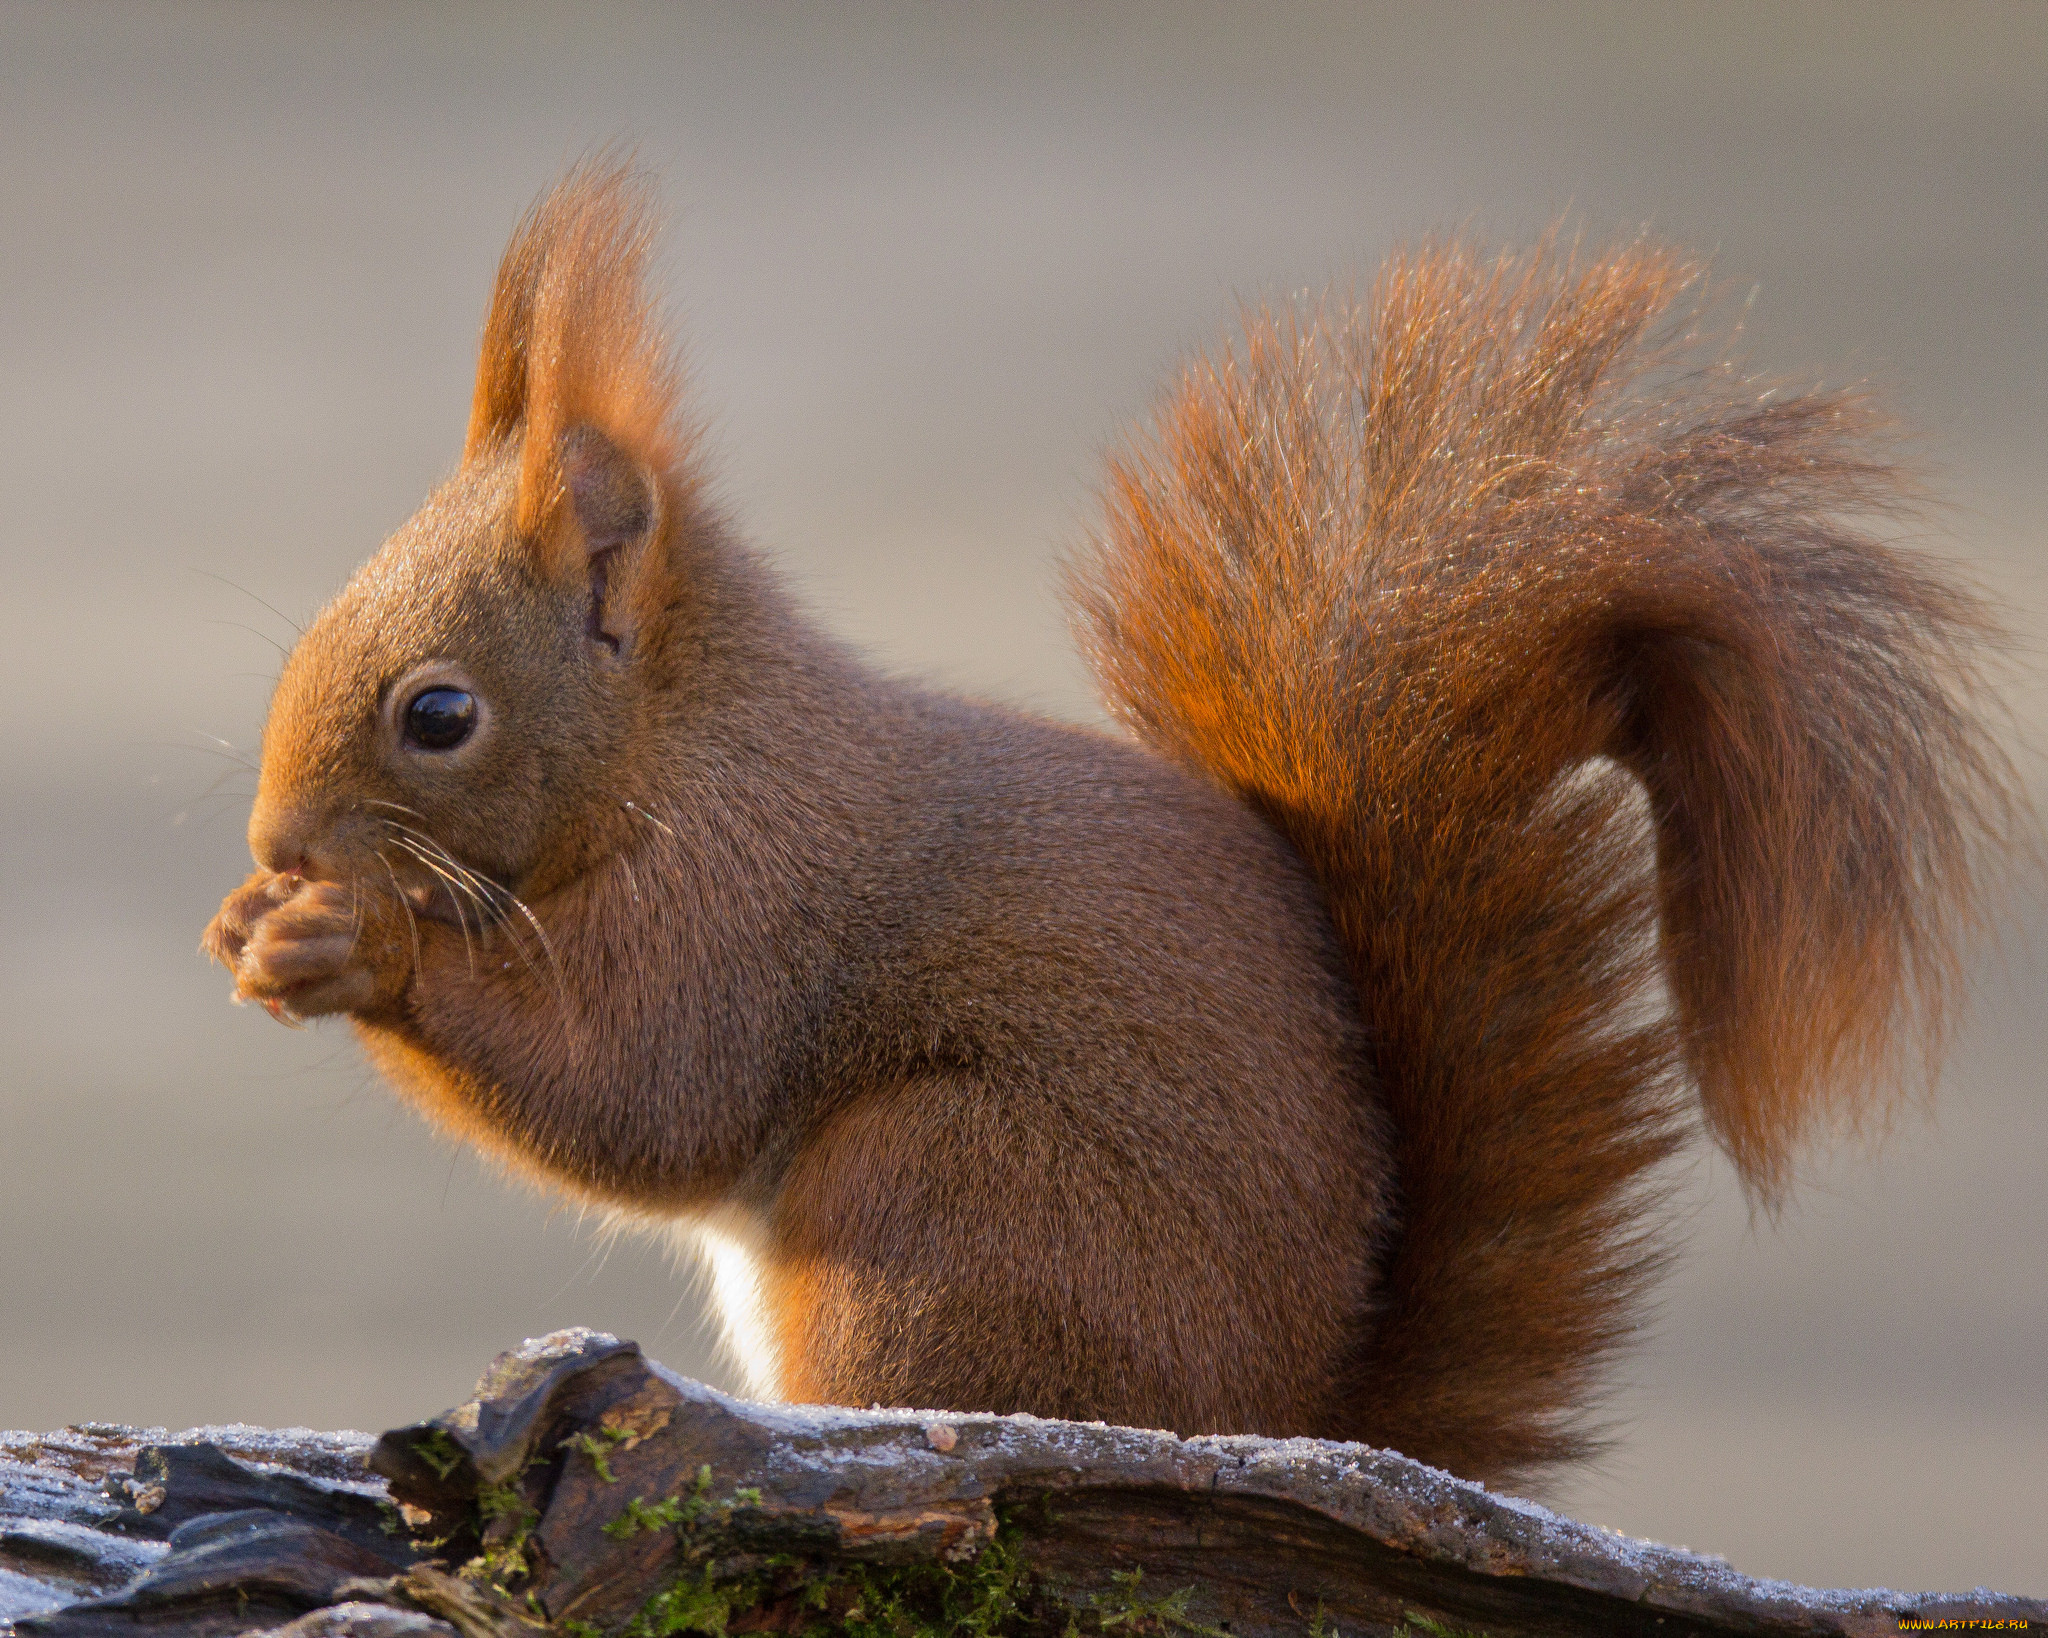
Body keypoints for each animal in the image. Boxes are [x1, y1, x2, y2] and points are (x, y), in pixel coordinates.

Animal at [203, 162, 2015, 1482]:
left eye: (439, 714)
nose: (279, 841)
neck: (686, 741)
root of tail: (1281, 1417)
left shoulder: (751, 896)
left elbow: (635, 1090)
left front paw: (349, 940)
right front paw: (251, 921)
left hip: (935, 1188)